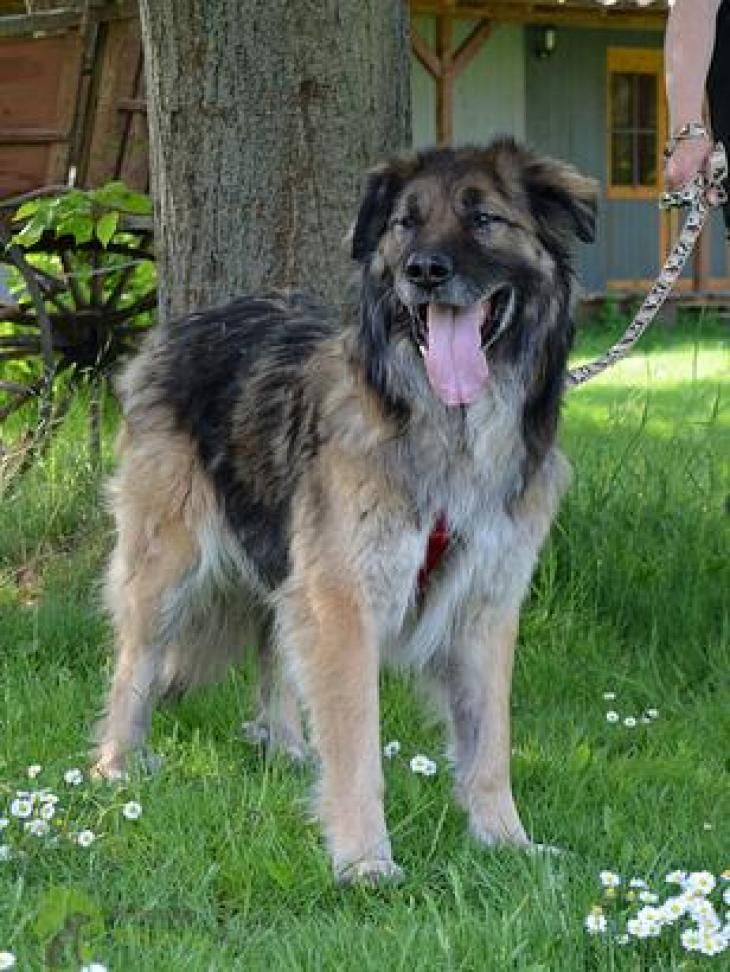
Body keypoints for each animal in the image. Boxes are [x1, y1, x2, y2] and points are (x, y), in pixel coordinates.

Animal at [94, 138, 597, 884]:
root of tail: (184, 324)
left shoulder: (483, 605)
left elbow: (489, 745)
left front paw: (507, 843)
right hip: (167, 564)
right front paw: (364, 861)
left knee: (273, 644)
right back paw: (116, 767)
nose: (424, 272)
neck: (448, 428)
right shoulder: (344, 599)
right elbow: (358, 746)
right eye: (405, 224)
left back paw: (285, 746)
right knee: (135, 664)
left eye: (484, 219)